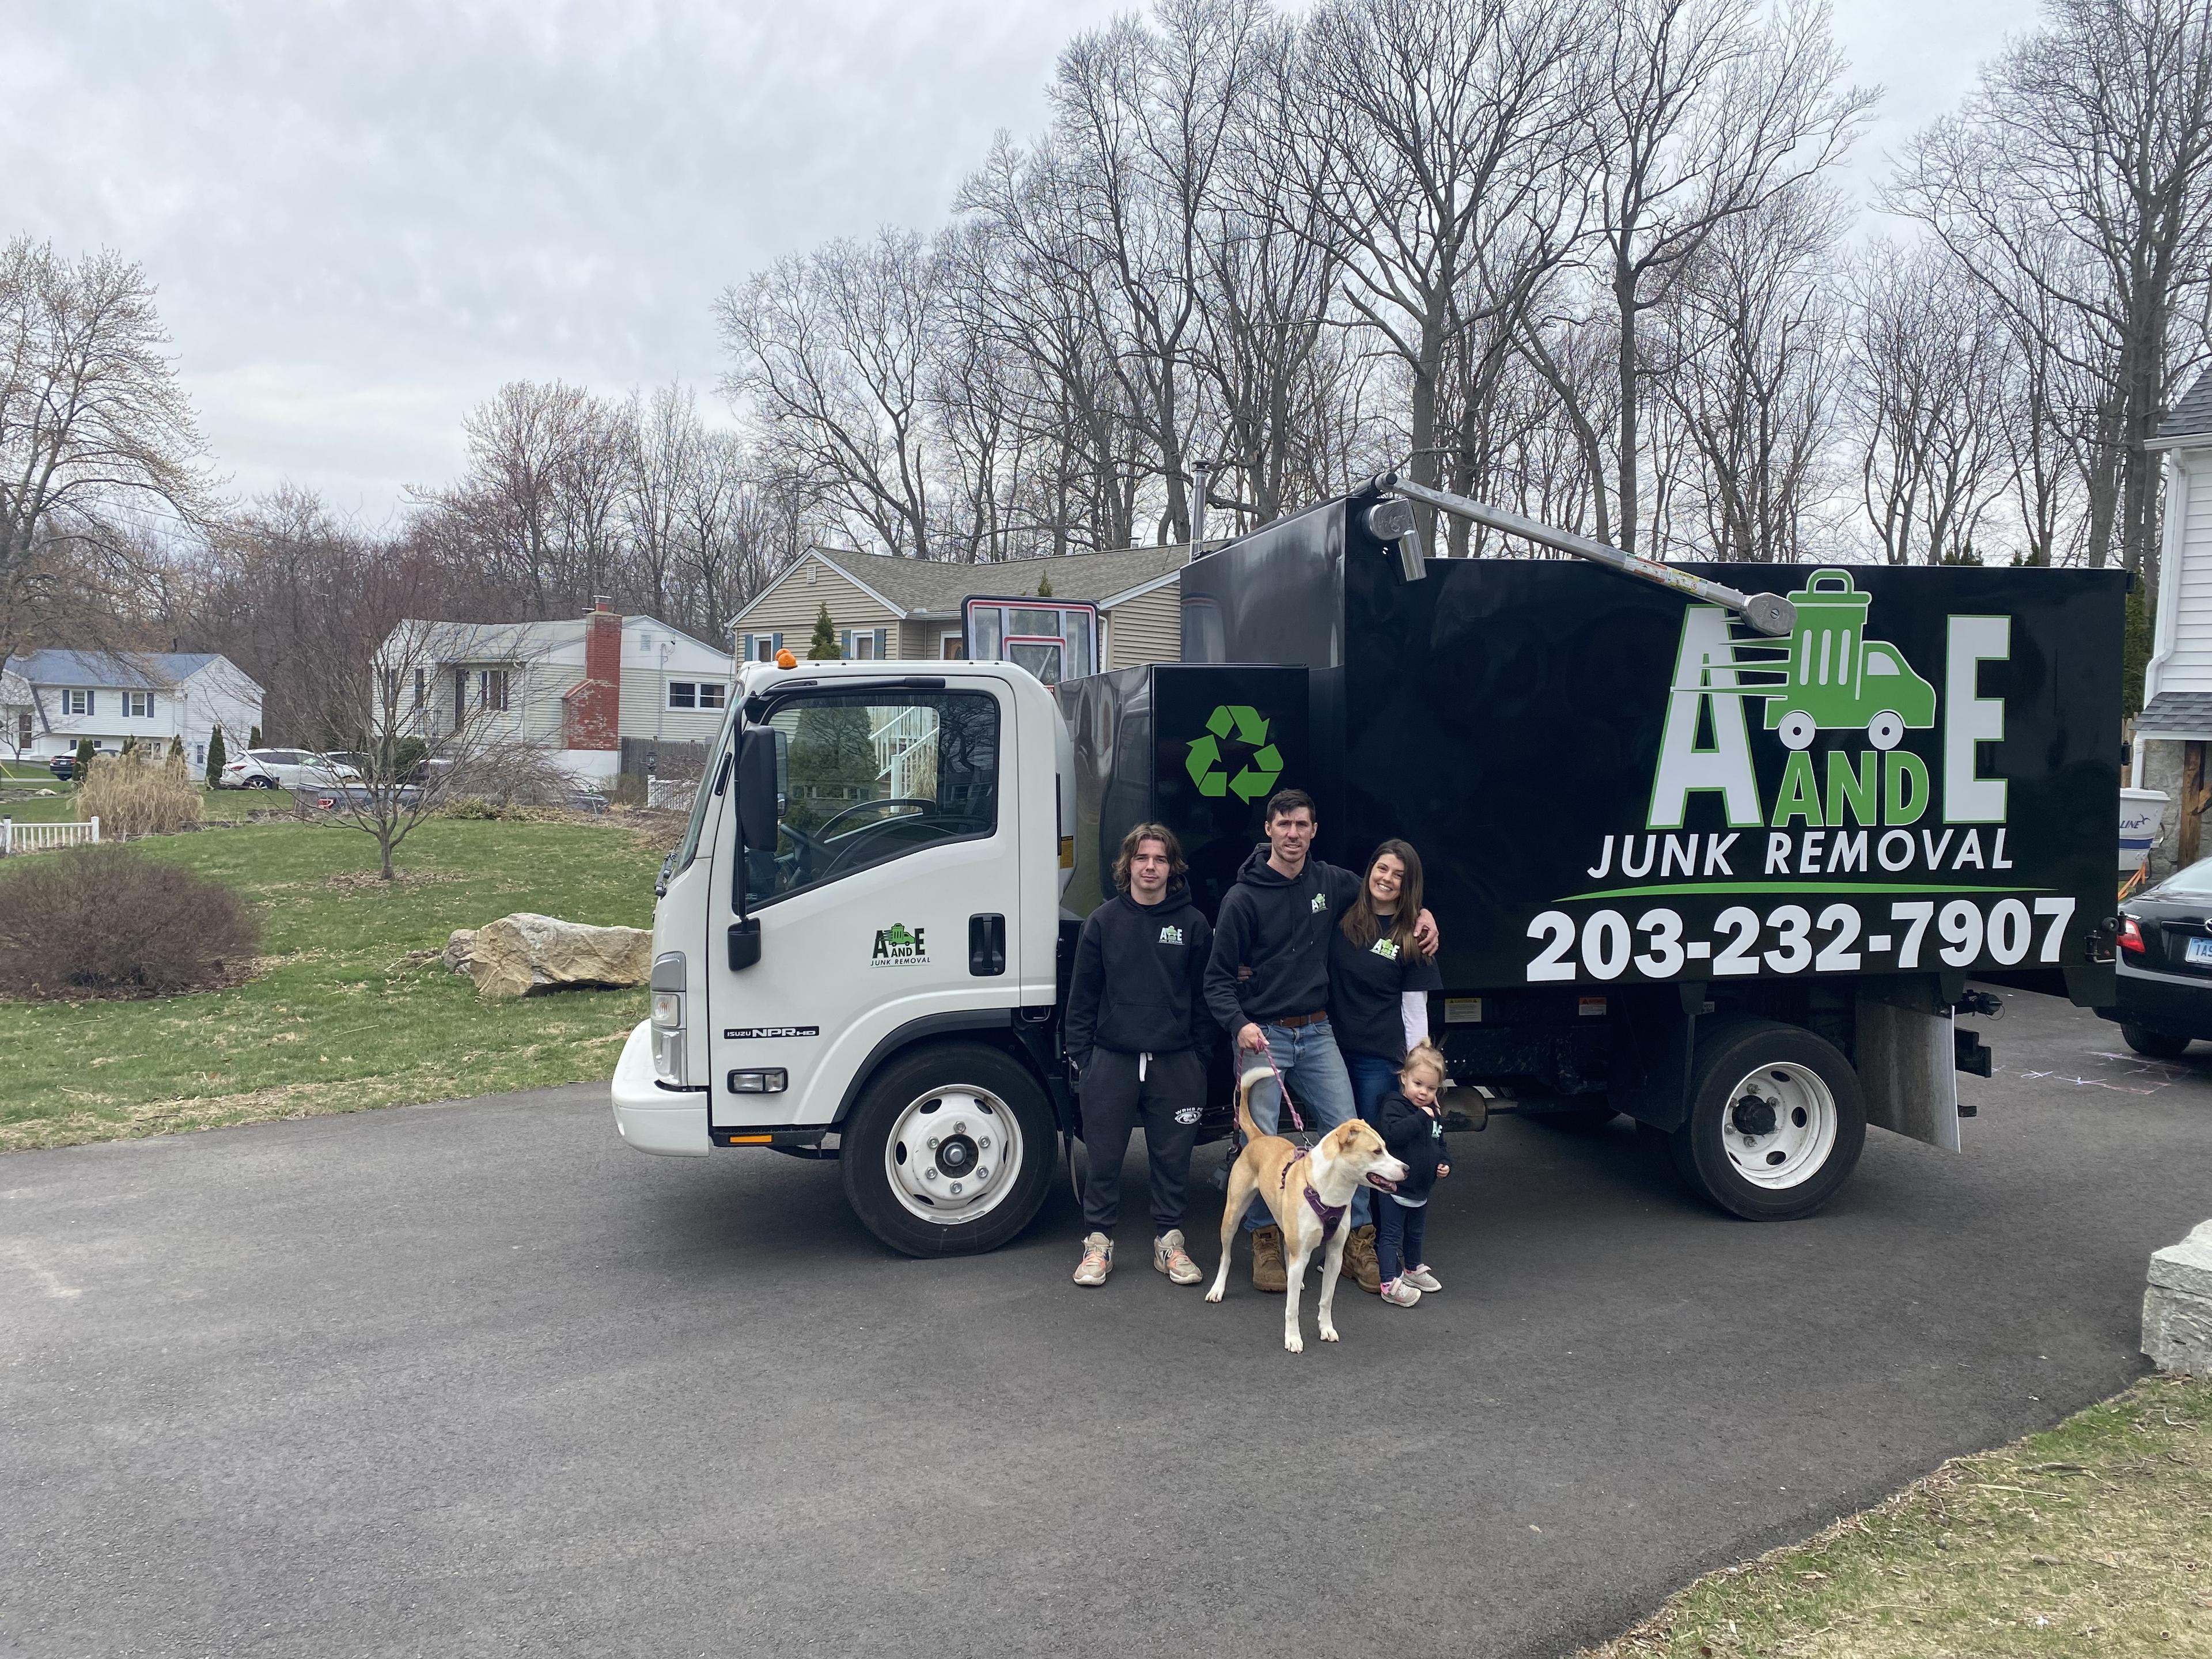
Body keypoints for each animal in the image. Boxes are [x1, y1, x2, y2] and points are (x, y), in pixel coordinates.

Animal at [1203, 1070, 1407, 1354]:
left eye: (1386, 1148)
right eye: (1377, 1151)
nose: (1406, 1169)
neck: (1326, 1190)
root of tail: (1259, 1138)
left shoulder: (1335, 1255)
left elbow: (1327, 1299)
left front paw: (1326, 1329)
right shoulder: (1302, 1254)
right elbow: (1292, 1308)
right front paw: (1293, 1338)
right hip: (1233, 1214)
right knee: (1227, 1257)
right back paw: (1218, 1289)